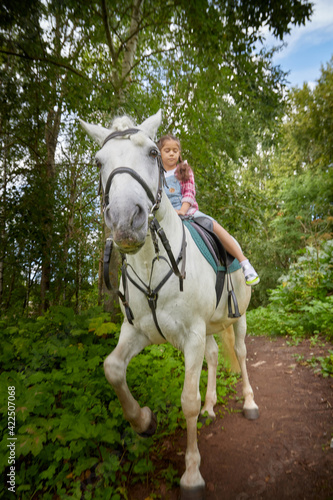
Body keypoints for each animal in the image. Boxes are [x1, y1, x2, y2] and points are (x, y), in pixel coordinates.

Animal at [80, 110, 256, 500]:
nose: (126, 221)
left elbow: (186, 400)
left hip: (238, 319)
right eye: (99, 162)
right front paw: (144, 421)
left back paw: (250, 403)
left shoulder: (191, 336)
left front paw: (191, 474)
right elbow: (112, 368)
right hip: (210, 329)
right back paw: (210, 407)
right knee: (214, 356)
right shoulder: (137, 332)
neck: (152, 263)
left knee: (240, 354)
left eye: (151, 152)